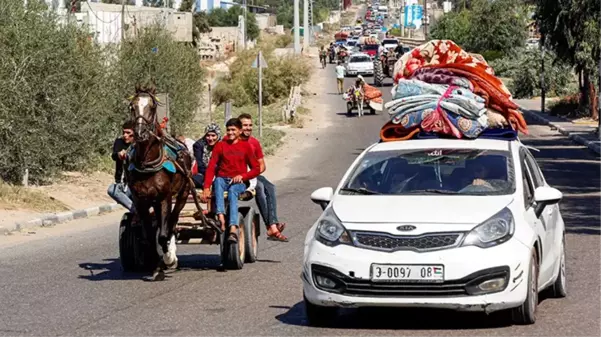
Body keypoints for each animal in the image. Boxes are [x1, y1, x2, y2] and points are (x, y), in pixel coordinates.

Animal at [125, 84, 203, 280]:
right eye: (132, 106)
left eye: (152, 107)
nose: (140, 133)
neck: (147, 163)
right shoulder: (141, 200)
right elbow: (148, 235)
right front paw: (155, 263)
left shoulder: (164, 197)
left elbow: (163, 234)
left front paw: (168, 259)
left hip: (182, 194)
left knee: (172, 222)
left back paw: (171, 255)